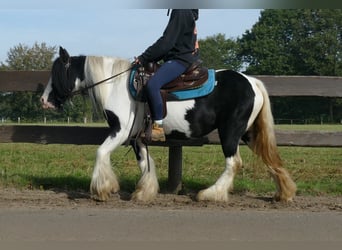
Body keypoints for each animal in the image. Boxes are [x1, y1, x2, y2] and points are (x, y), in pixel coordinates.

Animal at [40, 47, 296, 203]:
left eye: (57, 73)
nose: (44, 100)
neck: (116, 86)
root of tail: (251, 81)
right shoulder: (136, 137)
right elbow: (145, 163)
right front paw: (144, 192)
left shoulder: (120, 132)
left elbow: (101, 152)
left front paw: (102, 189)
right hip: (249, 133)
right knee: (269, 157)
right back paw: (284, 193)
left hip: (230, 132)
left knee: (234, 162)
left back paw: (210, 194)